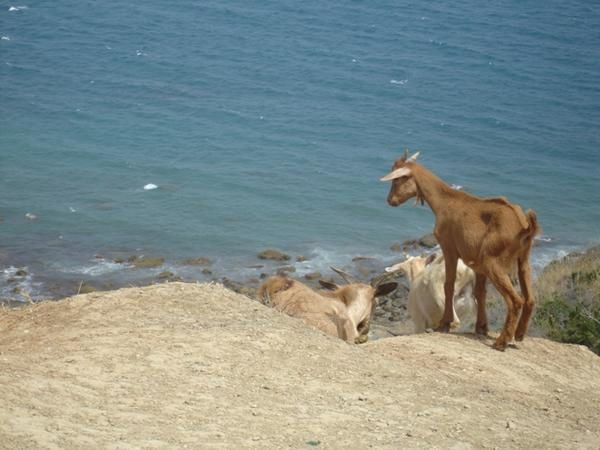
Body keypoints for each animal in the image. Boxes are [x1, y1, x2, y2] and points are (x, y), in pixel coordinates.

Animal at [382, 151, 540, 352]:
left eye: (397, 179)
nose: (390, 200)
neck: (445, 202)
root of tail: (524, 226)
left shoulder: (449, 248)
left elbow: (448, 285)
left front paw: (444, 324)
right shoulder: (477, 264)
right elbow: (480, 293)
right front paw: (481, 328)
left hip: (493, 262)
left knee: (515, 301)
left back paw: (501, 342)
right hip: (523, 260)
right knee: (530, 298)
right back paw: (518, 335)